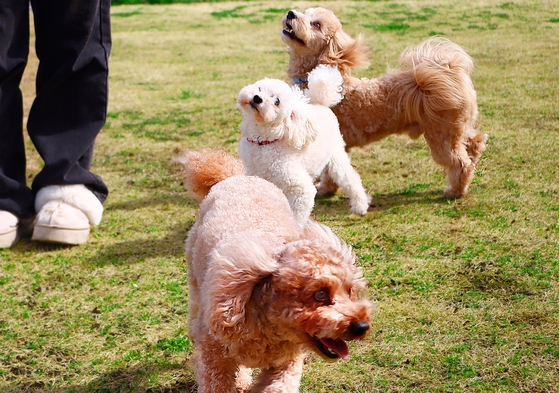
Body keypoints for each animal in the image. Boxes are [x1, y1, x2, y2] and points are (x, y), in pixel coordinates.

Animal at [179, 149, 372, 392]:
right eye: (319, 294)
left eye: (350, 291)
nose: (361, 325)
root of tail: (234, 177)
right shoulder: (215, 358)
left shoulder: (286, 363)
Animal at [237, 63, 372, 224]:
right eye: (259, 89)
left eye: (277, 102)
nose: (257, 98)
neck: (263, 143)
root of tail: (321, 103)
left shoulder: (300, 188)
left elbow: (297, 213)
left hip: (336, 157)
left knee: (351, 178)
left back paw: (360, 206)